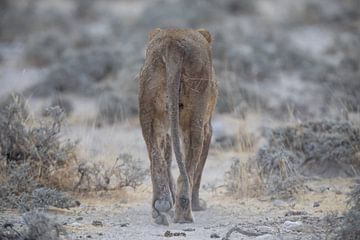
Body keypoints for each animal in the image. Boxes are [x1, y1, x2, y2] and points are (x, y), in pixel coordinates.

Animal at [138, 28, 217, 225]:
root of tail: (172, 43)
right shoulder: (208, 127)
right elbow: (199, 169)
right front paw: (198, 204)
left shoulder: (166, 130)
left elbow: (166, 154)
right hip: (195, 118)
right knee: (189, 168)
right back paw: (184, 213)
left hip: (150, 113)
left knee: (155, 156)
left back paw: (161, 205)